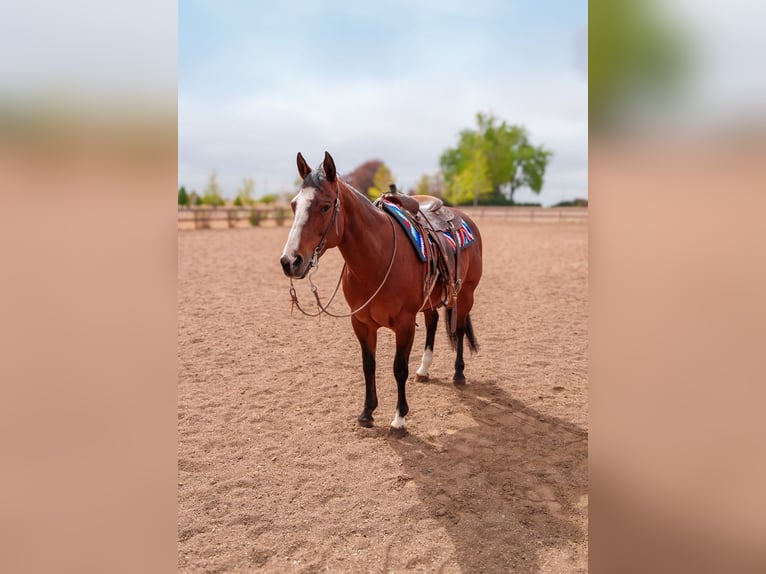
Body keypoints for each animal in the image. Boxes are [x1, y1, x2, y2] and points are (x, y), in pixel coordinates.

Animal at [279, 151, 483, 433]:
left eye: (326, 206)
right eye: (293, 205)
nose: (290, 261)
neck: (377, 258)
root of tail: (464, 218)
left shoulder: (405, 324)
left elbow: (399, 369)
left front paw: (399, 419)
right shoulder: (361, 322)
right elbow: (369, 365)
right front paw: (367, 412)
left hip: (466, 295)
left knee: (460, 328)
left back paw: (459, 373)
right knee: (432, 323)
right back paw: (424, 370)